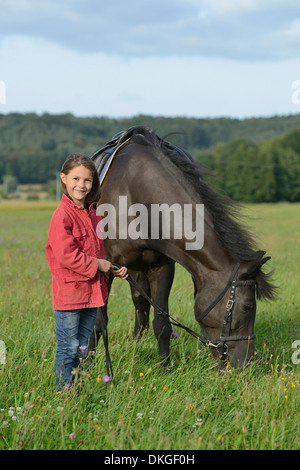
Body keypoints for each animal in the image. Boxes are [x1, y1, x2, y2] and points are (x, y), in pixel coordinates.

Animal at [88, 126, 274, 370]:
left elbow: (161, 323)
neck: (135, 196)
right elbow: (97, 323)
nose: (245, 364)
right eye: (247, 307)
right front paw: (85, 364)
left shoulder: (161, 266)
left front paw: (165, 368)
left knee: (140, 302)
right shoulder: (106, 268)